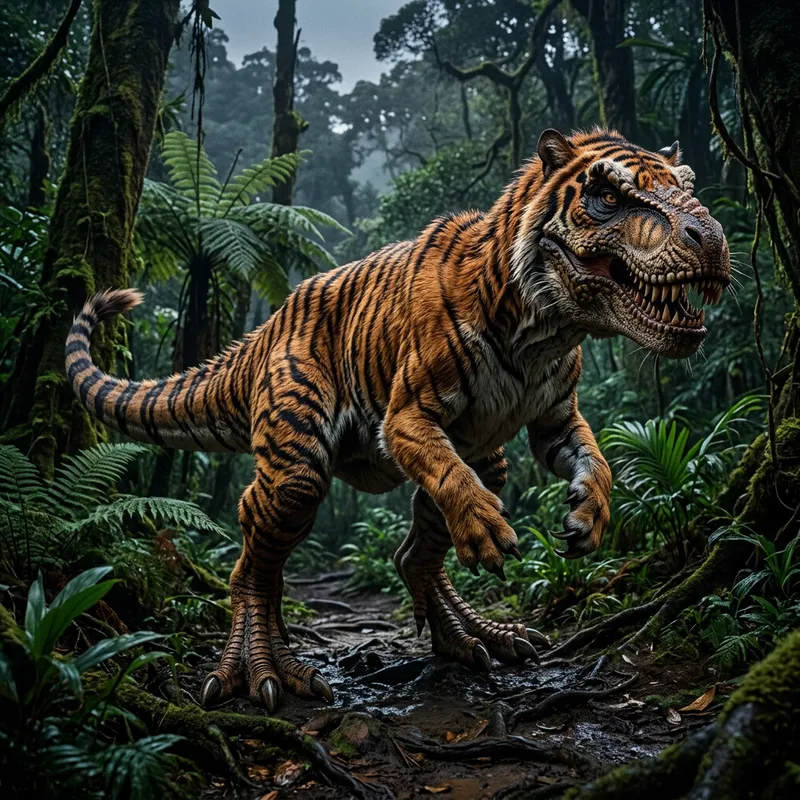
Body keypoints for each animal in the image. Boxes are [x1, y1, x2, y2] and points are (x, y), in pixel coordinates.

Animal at [65, 128, 730, 713]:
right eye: (610, 196)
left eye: (686, 186)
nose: (713, 238)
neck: (546, 328)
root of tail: (266, 327)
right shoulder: (406, 414)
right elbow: (451, 478)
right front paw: (491, 534)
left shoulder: (555, 417)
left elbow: (594, 460)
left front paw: (588, 517)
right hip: (296, 456)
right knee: (252, 552)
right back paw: (263, 671)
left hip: (485, 454)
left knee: (410, 553)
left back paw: (477, 638)